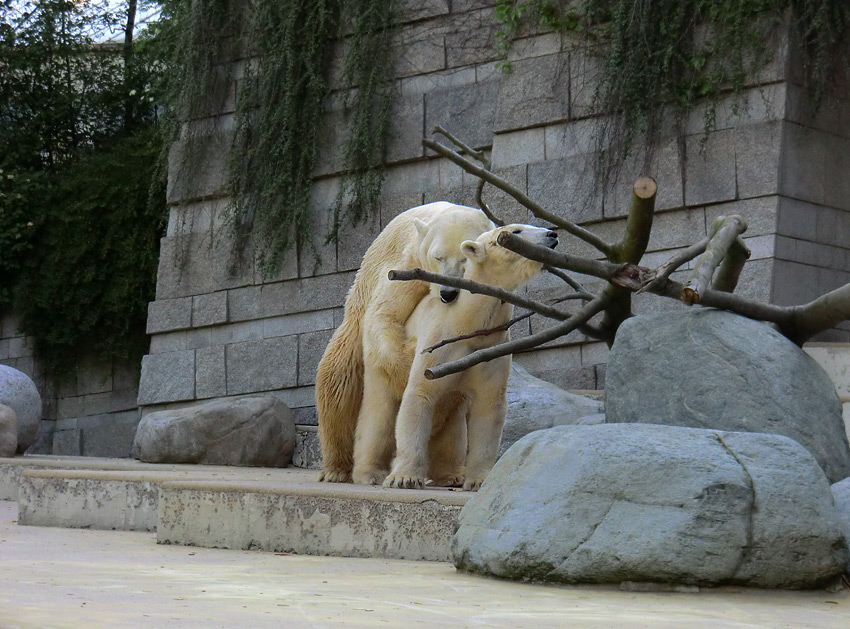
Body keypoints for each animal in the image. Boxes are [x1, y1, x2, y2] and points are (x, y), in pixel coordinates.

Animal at [314, 201, 494, 480]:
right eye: (438, 257)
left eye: (466, 257)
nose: (448, 293)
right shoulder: (406, 269)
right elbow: (384, 317)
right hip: (356, 313)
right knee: (338, 381)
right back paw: (337, 468)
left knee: (455, 414)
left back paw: (452, 472)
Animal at [374, 222, 560, 490]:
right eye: (516, 231)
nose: (552, 234)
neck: (465, 323)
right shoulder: (436, 347)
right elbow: (419, 396)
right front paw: (404, 478)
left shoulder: (491, 349)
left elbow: (489, 405)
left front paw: (480, 480)